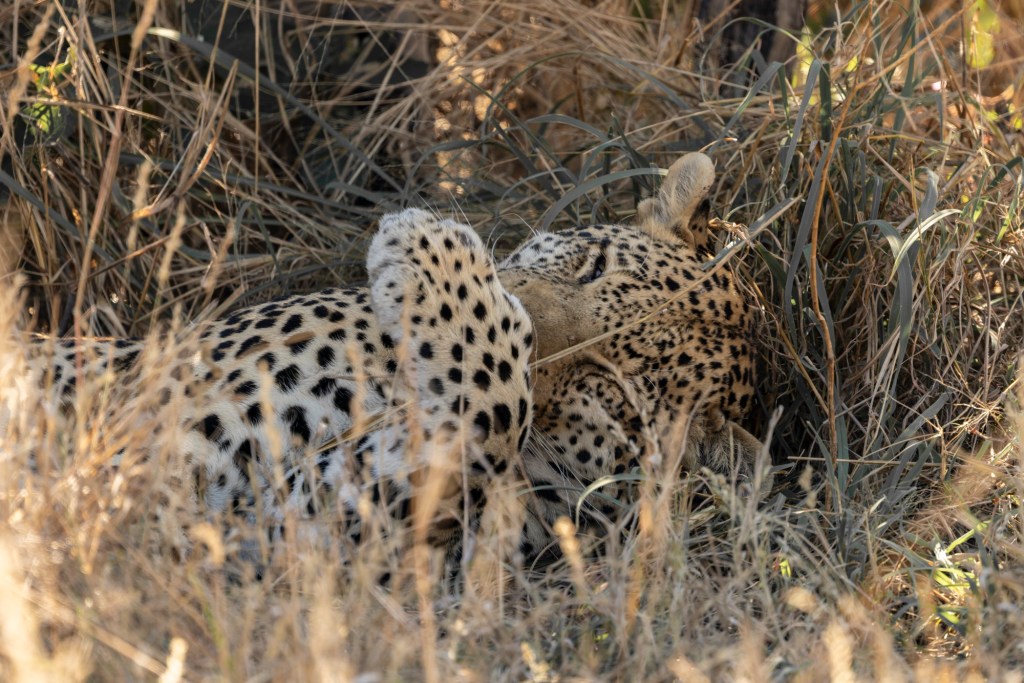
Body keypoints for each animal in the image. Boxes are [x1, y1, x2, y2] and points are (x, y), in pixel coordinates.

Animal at [1, 152, 763, 569]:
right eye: (591, 264)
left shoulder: (287, 529)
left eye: (608, 391)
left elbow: (490, 407)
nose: (521, 310)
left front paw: (428, 250)